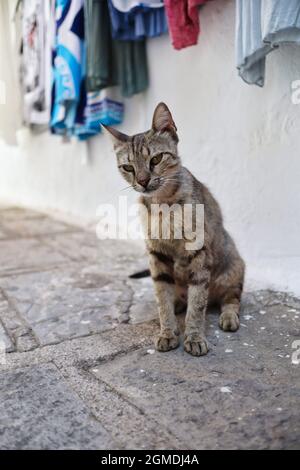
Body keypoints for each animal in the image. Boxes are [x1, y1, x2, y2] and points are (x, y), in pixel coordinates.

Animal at [104, 103, 245, 356]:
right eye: (128, 167)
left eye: (156, 159)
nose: (142, 181)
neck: (163, 205)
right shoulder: (157, 255)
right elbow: (162, 299)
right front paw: (168, 331)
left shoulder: (199, 254)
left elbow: (197, 304)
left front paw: (195, 336)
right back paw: (179, 304)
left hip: (233, 269)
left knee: (231, 299)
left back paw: (228, 316)